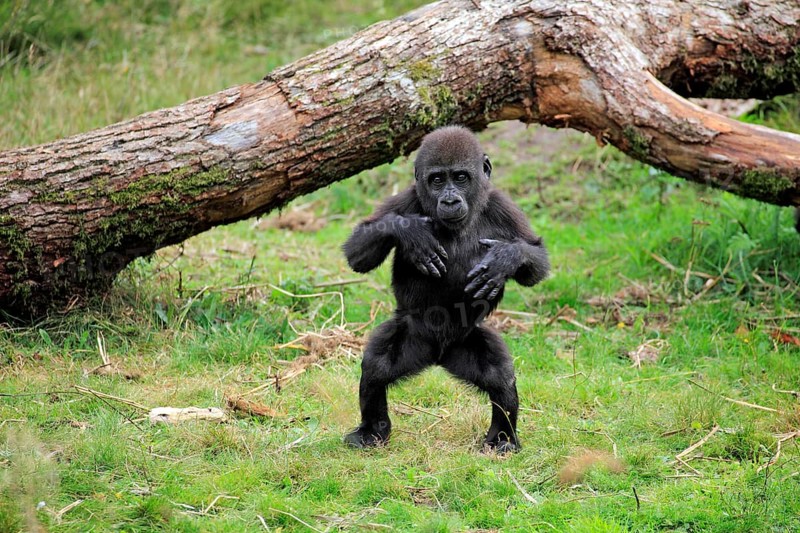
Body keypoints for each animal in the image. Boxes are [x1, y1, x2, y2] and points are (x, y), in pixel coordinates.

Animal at [342, 125, 549, 453]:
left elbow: (535, 260)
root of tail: (437, 356)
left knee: (499, 376)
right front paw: (410, 232)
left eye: (461, 177)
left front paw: (504, 258)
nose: (450, 200)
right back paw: (372, 431)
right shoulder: (406, 199)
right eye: (437, 180)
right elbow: (358, 251)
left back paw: (503, 437)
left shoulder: (503, 206)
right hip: (413, 334)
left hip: (465, 341)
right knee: (377, 366)